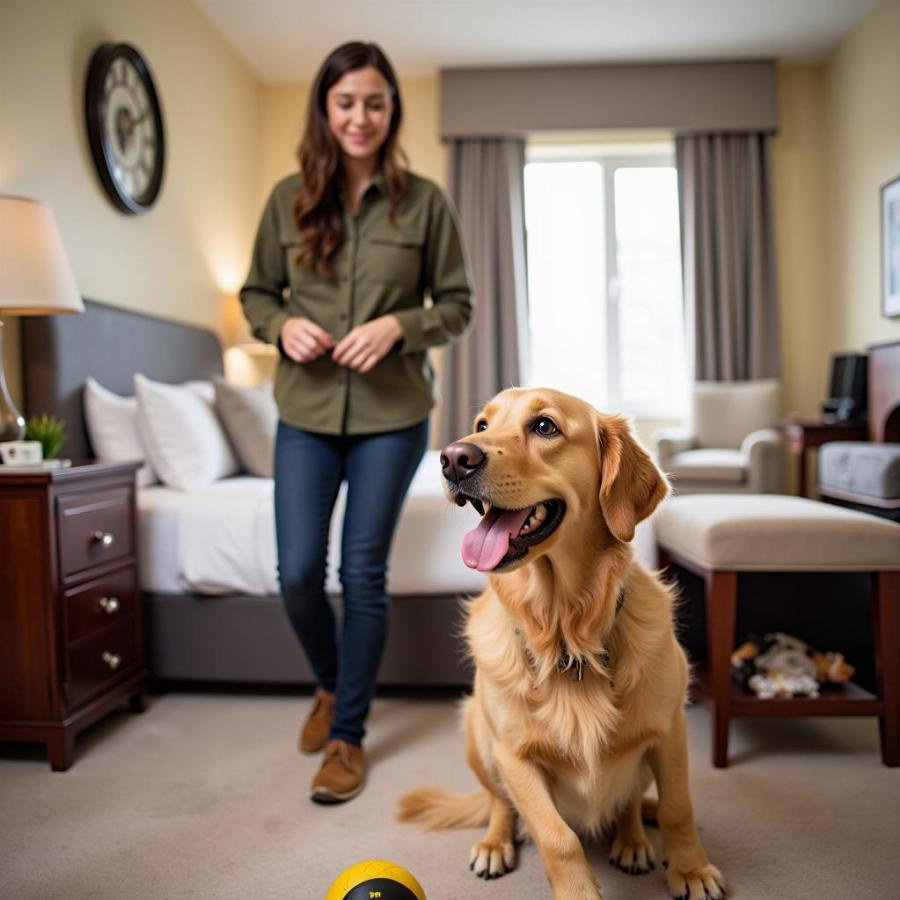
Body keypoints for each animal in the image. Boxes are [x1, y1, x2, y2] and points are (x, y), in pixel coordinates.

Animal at [398, 386, 728, 900]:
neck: (567, 633)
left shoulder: (668, 729)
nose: (453, 458)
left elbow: (678, 807)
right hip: (477, 731)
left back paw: (633, 841)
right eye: (482, 425)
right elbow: (557, 838)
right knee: (499, 804)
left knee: (630, 803)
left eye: (545, 426)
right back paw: (495, 844)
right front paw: (577, 889)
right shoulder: (514, 755)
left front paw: (691, 870)